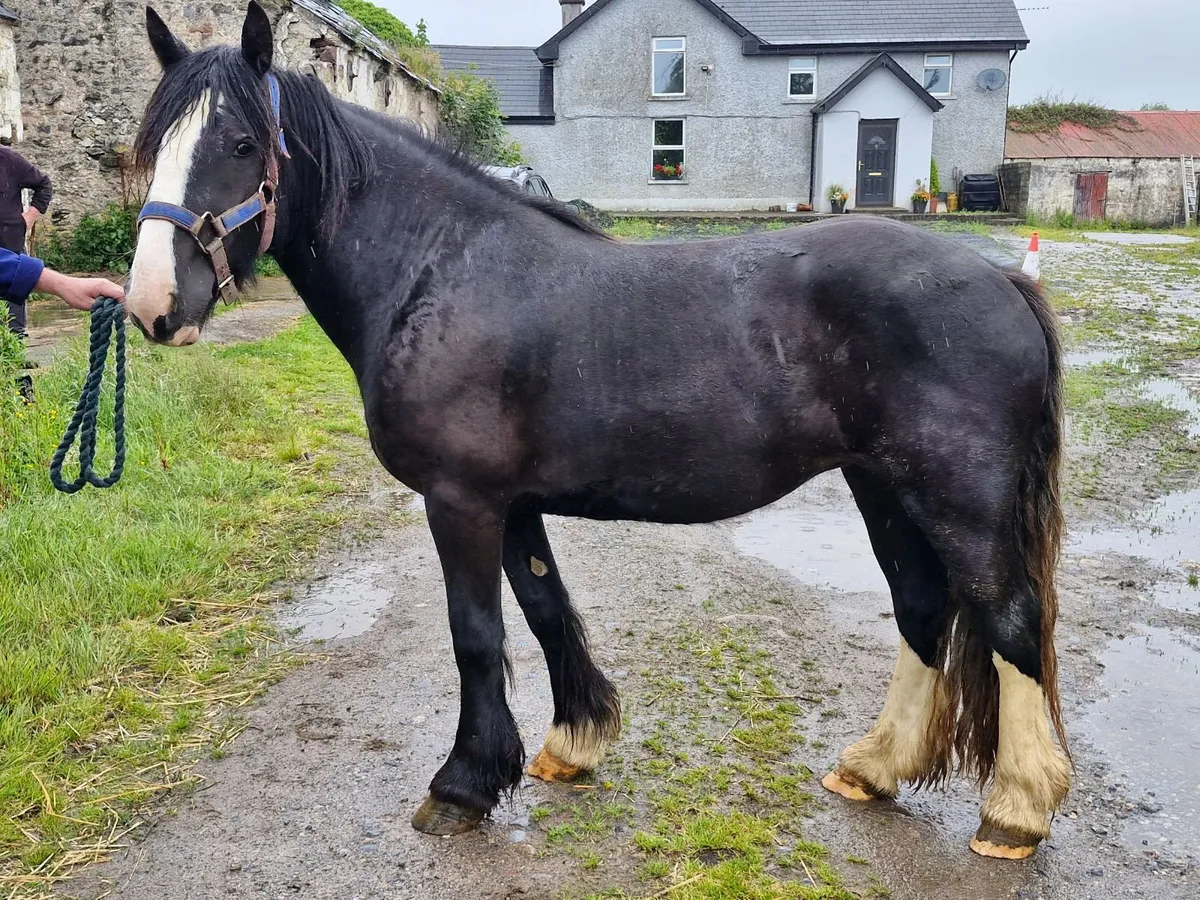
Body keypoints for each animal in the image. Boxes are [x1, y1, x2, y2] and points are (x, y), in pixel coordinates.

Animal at [125, 2, 1071, 859]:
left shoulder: (460, 500)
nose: (153, 305)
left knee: (1009, 621)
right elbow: (545, 608)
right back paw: (874, 768)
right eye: (153, 145)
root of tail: (1001, 282)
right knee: (923, 612)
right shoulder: (510, 502)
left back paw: (1016, 812)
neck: (438, 270)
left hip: (958, 497)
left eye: (241, 145)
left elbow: (477, 634)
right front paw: (570, 744)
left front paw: (463, 786)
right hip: (882, 485)